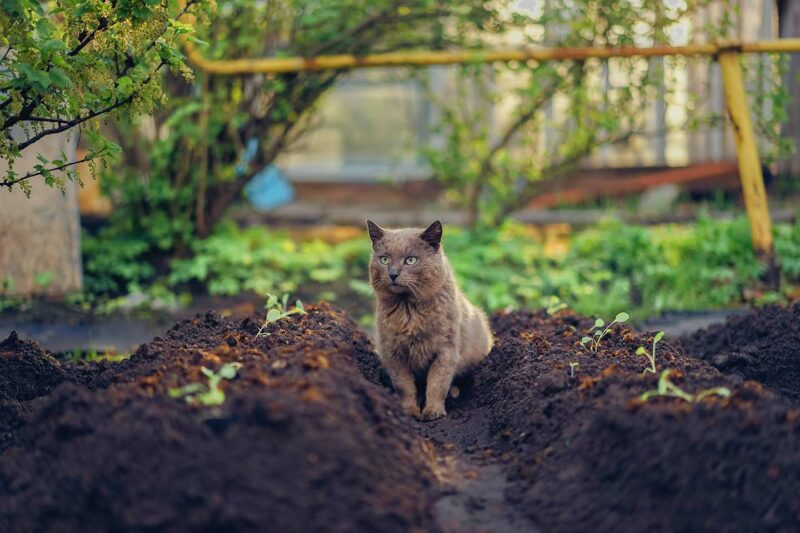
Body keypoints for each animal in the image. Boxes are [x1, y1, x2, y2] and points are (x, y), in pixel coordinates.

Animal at [368, 218, 494, 418]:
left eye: (411, 260)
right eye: (384, 259)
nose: (393, 274)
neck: (409, 310)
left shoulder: (446, 349)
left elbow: (437, 384)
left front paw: (433, 411)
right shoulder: (392, 352)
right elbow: (405, 386)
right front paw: (409, 411)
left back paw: (454, 393)